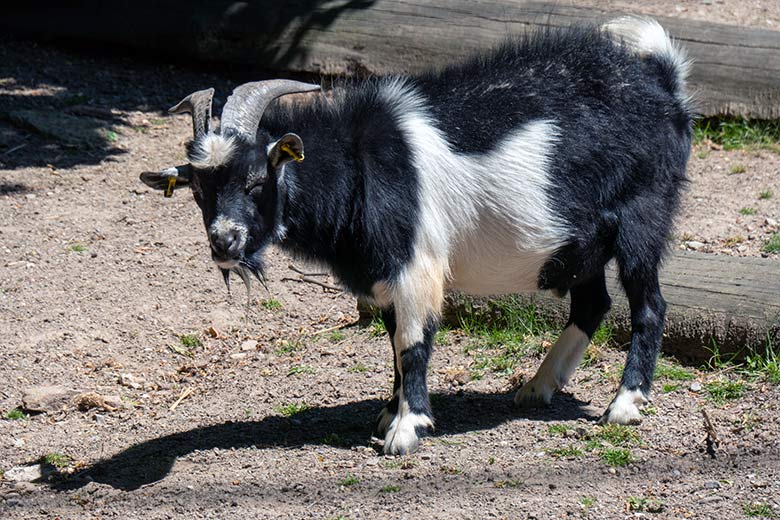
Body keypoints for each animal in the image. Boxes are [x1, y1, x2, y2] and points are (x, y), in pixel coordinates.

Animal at [142, 18, 696, 452]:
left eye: (258, 180)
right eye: (197, 191)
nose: (224, 243)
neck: (359, 163)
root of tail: (662, 79)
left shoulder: (416, 265)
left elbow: (412, 342)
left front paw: (406, 430)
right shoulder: (383, 274)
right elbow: (392, 342)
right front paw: (390, 412)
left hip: (641, 218)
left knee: (649, 305)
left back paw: (624, 404)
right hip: (580, 243)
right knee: (593, 303)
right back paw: (537, 387)